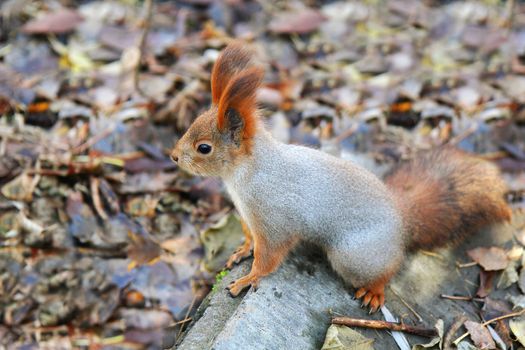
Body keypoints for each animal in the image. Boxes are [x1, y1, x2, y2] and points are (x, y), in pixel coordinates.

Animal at [172, 42, 512, 314]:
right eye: (191, 124)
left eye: (204, 148)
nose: (174, 156)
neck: (246, 173)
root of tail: (402, 221)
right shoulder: (248, 217)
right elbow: (250, 239)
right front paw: (243, 250)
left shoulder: (275, 220)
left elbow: (269, 257)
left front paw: (248, 278)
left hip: (353, 255)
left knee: (389, 269)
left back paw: (375, 291)